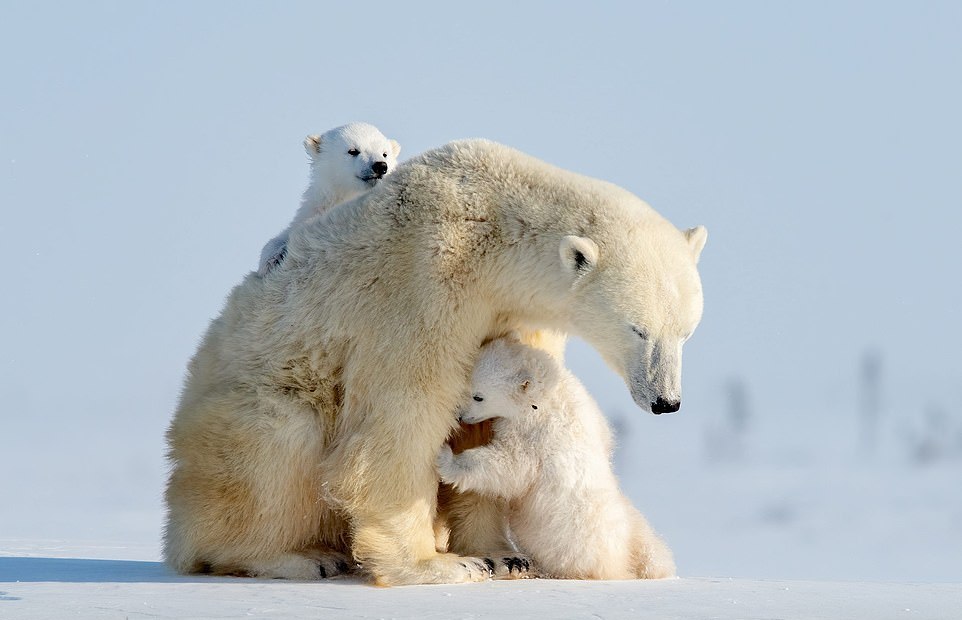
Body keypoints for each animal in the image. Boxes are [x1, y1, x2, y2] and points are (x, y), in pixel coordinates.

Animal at [436, 336, 676, 580]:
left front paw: (445, 458)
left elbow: (510, 465)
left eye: (478, 396)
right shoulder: (584, 400)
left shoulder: (533, 431)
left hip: (568, 541)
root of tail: (618, 564)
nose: (460, 415)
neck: (545, 394)